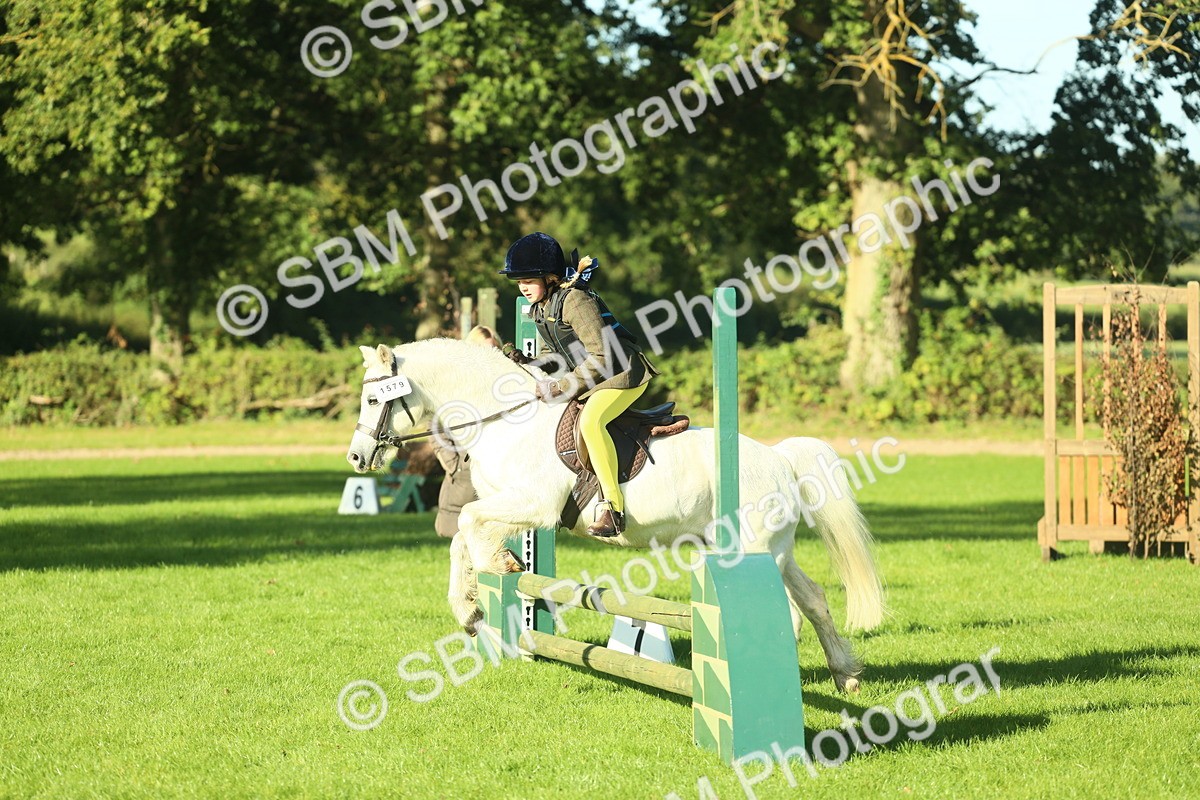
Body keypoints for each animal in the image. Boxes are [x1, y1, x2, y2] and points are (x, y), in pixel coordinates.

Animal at [345, 339, 884, 692]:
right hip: (774, 550)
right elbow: (463, 535)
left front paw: (498, 569)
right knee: (812, 600)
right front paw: (472, 610)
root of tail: (778, 458)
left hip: (752, 549)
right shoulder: (507, 504)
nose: (356, 458)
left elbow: (468, 525)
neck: (505, 420)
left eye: (373, 399)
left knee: (791, 609)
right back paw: (845, 676)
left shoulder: (533, 503)